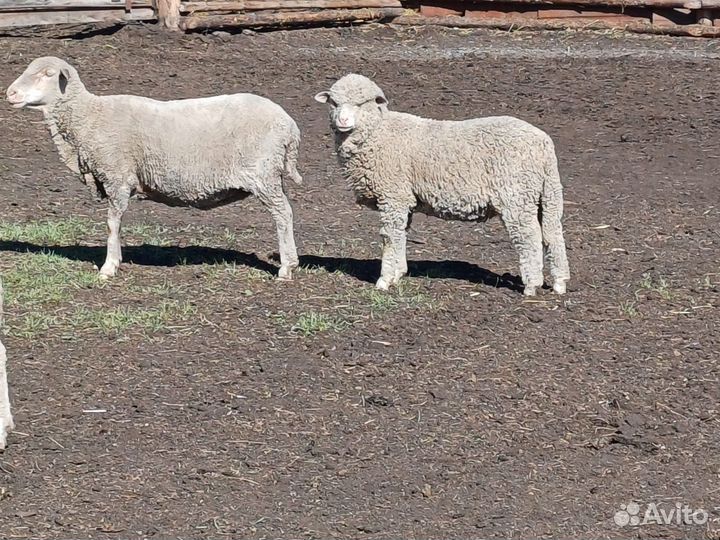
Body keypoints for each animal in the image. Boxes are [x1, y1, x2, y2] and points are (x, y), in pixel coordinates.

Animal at [7, 56, 302, 280]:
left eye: (47, 74)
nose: (10, 93)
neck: (89, 116)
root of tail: (290, 125)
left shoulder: (117, 175)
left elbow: (112, 223)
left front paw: (109, 266)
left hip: (263, 174)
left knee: (283, 214)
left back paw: (287, 267)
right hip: (270, 175)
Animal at [314, 74, 570, 296]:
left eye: (362, 103)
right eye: (334, 103)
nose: (343, 121)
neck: (379, 133)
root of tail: (543, 144)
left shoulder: (393, 195)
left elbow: (389, 236)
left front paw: (385, 280)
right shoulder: (404, 198)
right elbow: (401, 234)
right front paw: (398, 273)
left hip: (516, 196)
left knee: (529, 237)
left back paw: (531, 286)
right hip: (543, 193)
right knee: (553, 234)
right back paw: (559, 283)